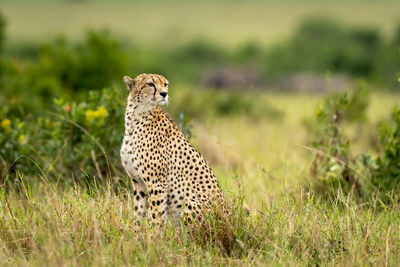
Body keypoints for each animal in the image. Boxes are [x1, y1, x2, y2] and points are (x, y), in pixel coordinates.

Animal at [119, 74, 227, 227]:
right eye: (150, 84)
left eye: (165, 84)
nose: (164, 94)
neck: (135, 117)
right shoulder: (137, 182)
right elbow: (138, 215)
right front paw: (136, 234)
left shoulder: (157, 184)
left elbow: (155, 217)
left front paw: (153, 234)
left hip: (190, 202)